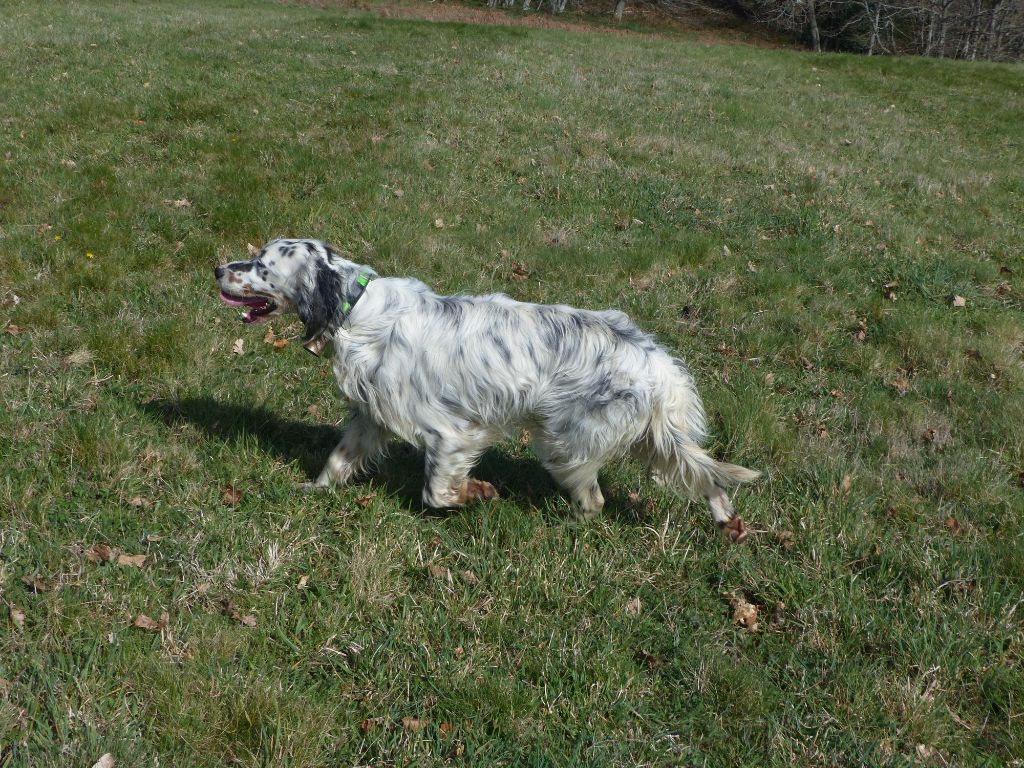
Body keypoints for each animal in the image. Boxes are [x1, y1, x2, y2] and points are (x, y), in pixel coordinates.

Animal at [214, 237, 761, 544]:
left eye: (262, 265)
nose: (218, 268)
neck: (357, 307)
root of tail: (657, 363)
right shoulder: (369, 417)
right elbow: (338, 459)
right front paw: (314, 490)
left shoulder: (451, 434)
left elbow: (436, 491)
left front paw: (475, 494)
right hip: (651, 438)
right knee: (703, 474)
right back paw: (725, 520)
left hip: (564, 443)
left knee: (595, 501)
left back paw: (569, 527)